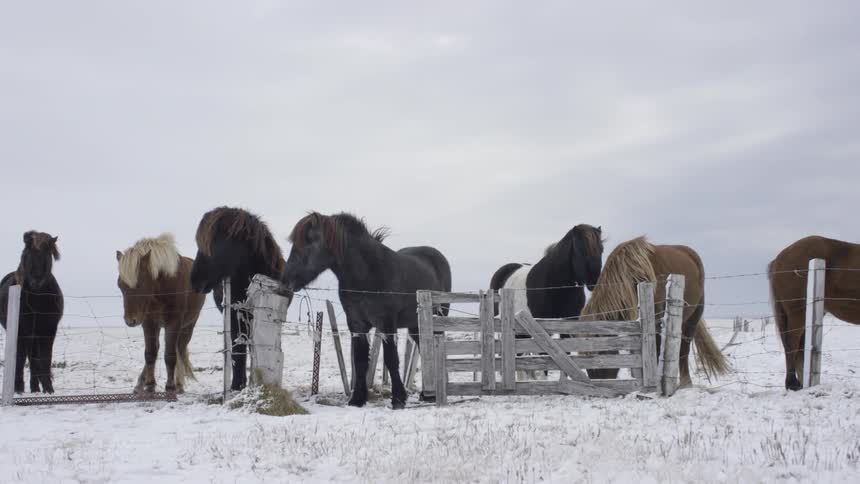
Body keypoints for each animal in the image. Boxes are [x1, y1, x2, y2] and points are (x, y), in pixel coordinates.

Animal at [0, 231, 64, 394]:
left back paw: (35, 387)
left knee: (34, 358)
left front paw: (49, 389)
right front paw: (18, 388)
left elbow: (45, 358)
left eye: (47, 253)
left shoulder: (48, 331)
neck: (37, 299)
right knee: (27, 357)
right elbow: (20, 358)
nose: (36, 281)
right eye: (27, 252)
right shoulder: (21, 332)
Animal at [116, 233, 205, 393]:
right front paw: (149, 385)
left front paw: (170, 387)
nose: (130, 321)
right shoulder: (149, 323)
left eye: (140, 283)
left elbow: (170, 356)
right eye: (120, 285)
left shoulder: (173, 323)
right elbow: (150, 353)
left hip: (188, 327)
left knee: (179, 349)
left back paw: (178, 384)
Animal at [280, 212, 452, 409]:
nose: (285, 279)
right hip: (416, 325)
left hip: (438, 319)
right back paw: (428, 394)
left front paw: (398, 398)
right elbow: (360, 361)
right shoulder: (356, 324)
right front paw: (357, 399)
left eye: (309, 240)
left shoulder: (386, 324)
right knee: (426, 350)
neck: (367, 274)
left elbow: (391, 359)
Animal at [488, 224, 607, 379]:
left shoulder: (569, 323)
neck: (555, 285)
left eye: (601, 249)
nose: (594, 282)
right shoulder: (542, 327)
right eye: (581, 250)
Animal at [581, 236, 728, 387]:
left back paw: (685, 383)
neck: (633, 277)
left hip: (694, 317)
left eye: (600, 353)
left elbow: (655, 352)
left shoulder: (655, 322)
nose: (597, 384)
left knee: (683, 349)